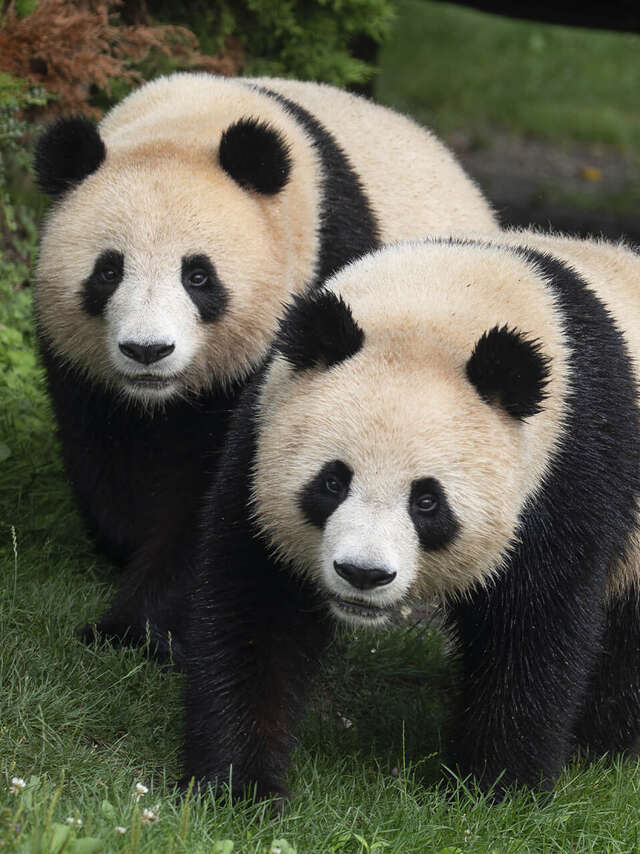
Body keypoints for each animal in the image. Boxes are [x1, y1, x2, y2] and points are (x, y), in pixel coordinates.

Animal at [32, 73, 498, 648]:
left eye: (198, 276)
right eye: (108, 272)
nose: (148, 351)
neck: (191, 121)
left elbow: (223, 499)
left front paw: (131, 627)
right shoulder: (81, 368)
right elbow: (108, 451)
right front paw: (123, 552)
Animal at [179, 229, 640, 804]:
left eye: (427, 501)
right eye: (332, 482)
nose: (363, 574)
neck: (442, 303)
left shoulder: (566, 468)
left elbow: (535, 627)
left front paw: (493, 788)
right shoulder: (260, 431)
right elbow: (255, 606)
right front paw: (238, 786)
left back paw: (603, 741)